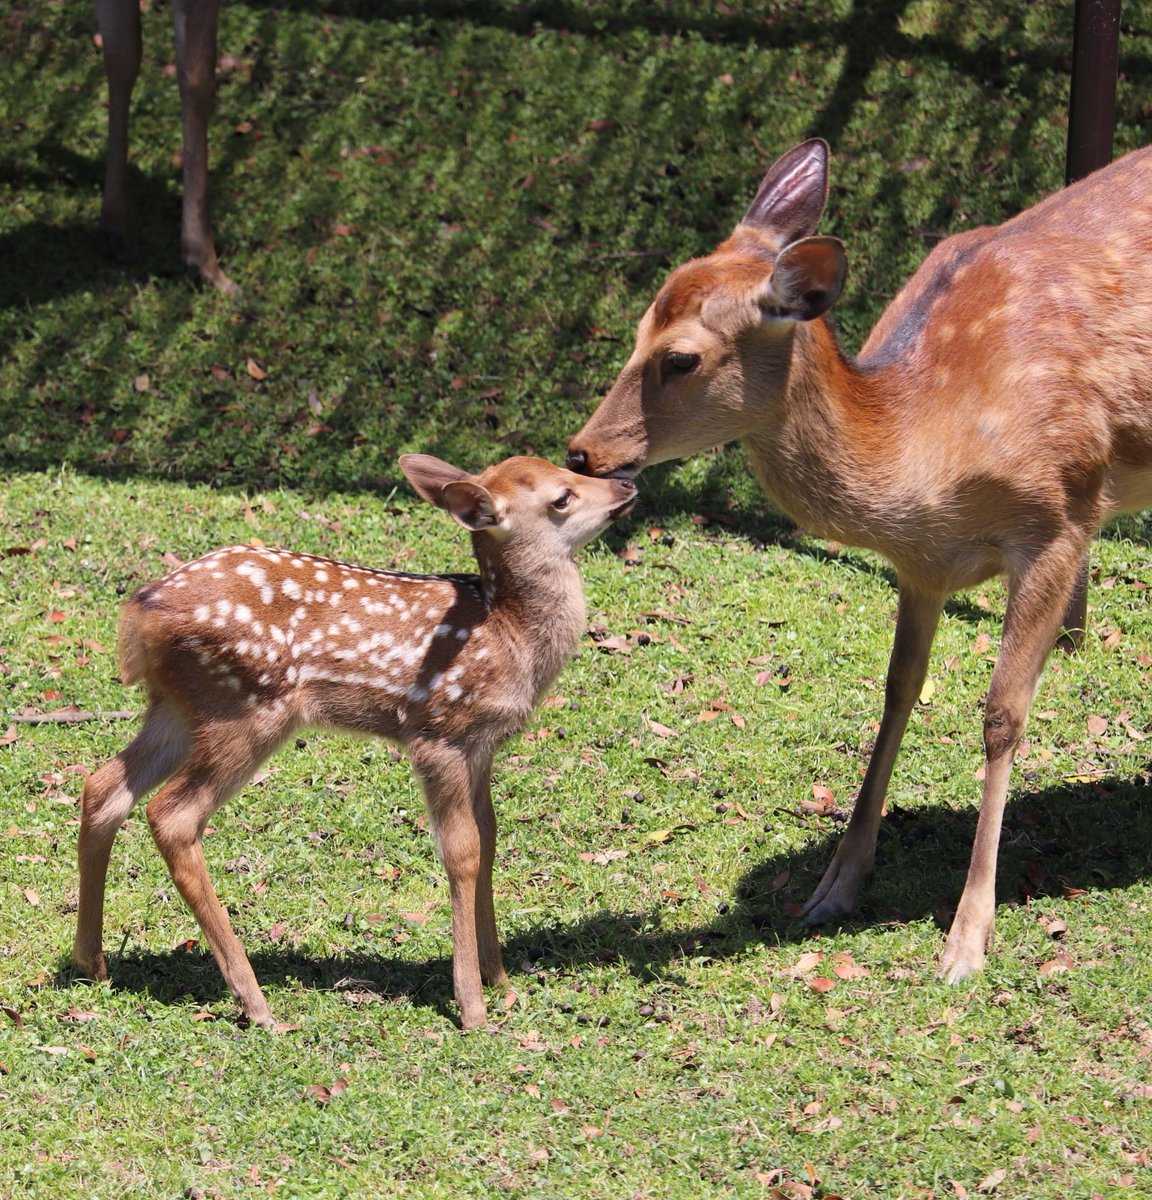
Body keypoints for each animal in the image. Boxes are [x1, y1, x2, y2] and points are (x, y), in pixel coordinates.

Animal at [73, 453, 638, 1027]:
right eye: (561, 497)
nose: (625, 485)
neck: (509, 634)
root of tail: (140, 613)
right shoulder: (438, 734)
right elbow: (461, 851)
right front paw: (472, 1006)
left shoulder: (481, 746)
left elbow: (490, 839)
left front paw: (500, 980)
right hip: (246, 707)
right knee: (172, 814)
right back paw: (255, 1002)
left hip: (177, 708)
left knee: (104, 787)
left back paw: (92, 964)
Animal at [566, 142, 1152, 984]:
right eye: (638, 325)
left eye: (681, 358)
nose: (583, 451)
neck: (925, 441)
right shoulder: (923, 565)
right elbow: (898, 689)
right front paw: (835, 885)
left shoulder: (1063, 518)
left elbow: (1002, 715)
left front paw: (966, 939)